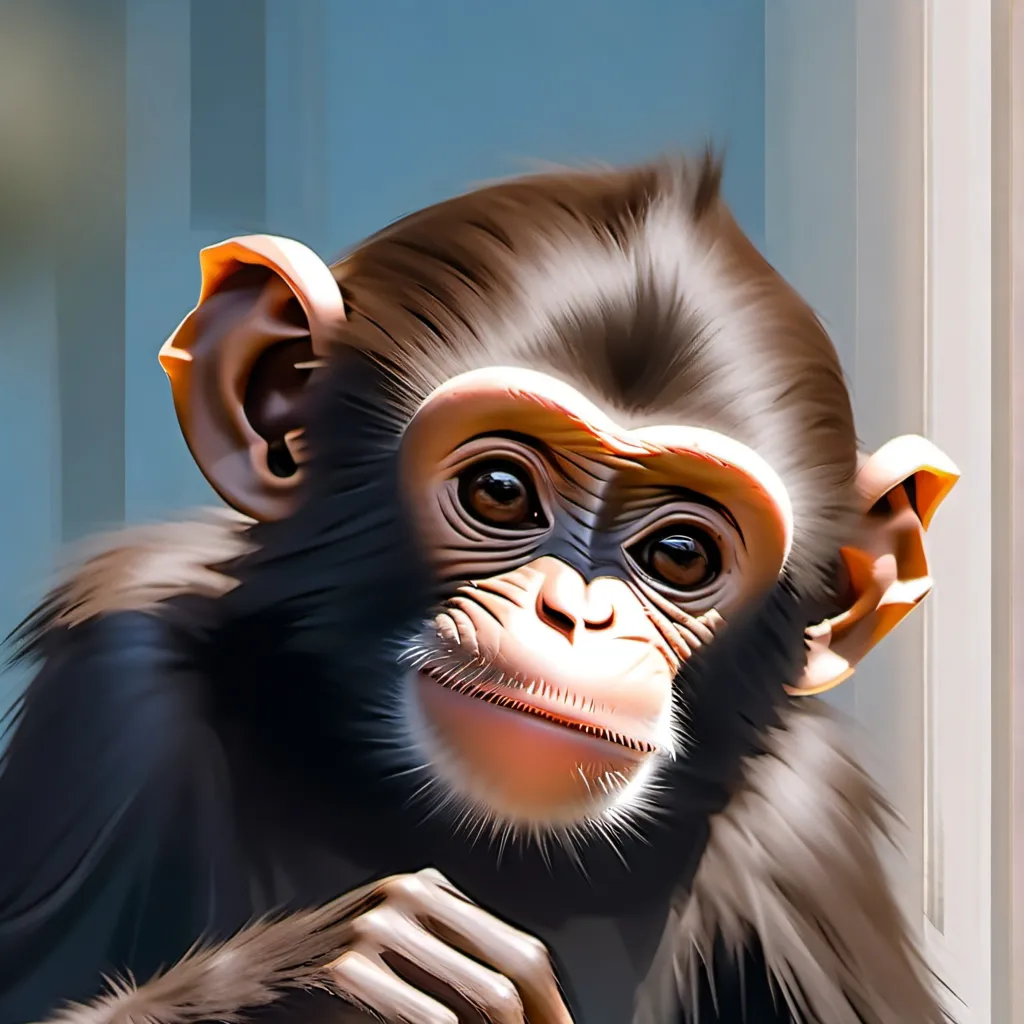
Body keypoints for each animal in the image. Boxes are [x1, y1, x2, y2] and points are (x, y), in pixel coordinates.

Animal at [0, 154, 959, 1024]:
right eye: (499, 491)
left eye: (681, 555)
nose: (574, 615)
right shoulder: (116, 688)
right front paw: (334, 975)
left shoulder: (811, 831)